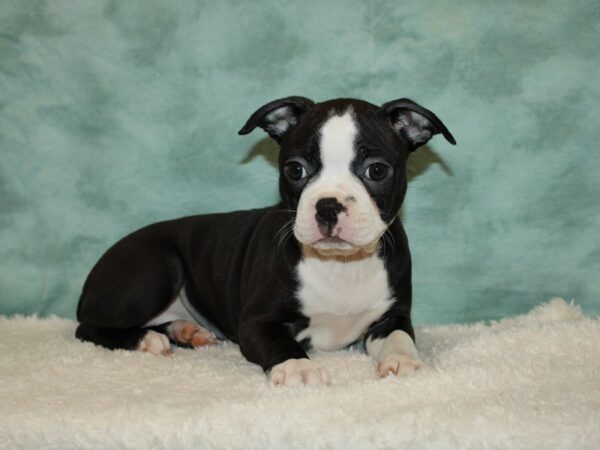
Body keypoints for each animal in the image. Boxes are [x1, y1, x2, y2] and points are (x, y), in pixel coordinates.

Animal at [77, 96, 458, 386]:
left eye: (377, 170)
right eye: (295, 169)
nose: (328, 206)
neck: (340, 265)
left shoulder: (392, 317)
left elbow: (400, 338)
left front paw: (404, 361)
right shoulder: (255, 323)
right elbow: (279, 343)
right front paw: (298, 367)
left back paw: (186, 330)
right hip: (158, 267)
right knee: (88, 328)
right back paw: (147, 339)